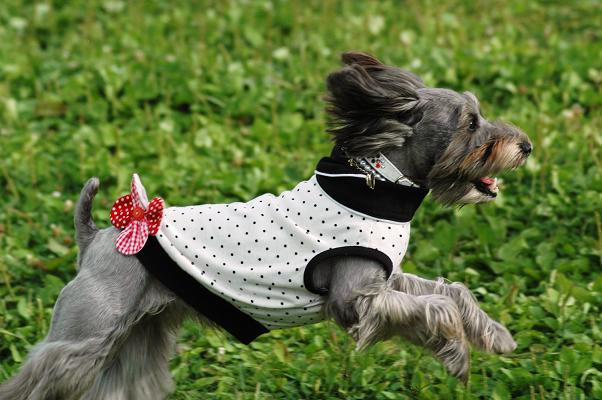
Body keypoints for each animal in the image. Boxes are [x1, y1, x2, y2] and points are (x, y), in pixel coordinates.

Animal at [0, 52, 531, 399]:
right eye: (469, 123)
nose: (525, 145)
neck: (378, 185)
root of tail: (95, 237)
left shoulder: (388, 279)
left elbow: (451, 291)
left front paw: (493, 338)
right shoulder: (355, 300)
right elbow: (435, 306)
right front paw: (458, 351)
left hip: (134, 339)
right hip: (82, 340)